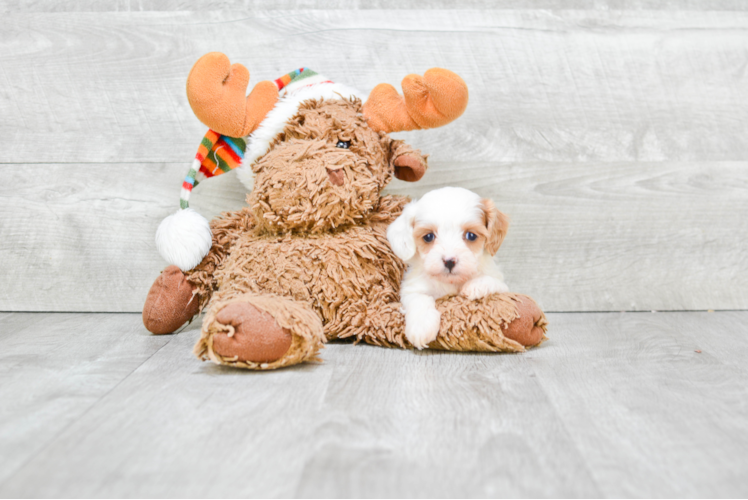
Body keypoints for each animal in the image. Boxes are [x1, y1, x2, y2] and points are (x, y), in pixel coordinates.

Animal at [388, 186, 512, 350]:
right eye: (428, 237)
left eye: (471, 235)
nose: (449, 261)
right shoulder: (412, 289)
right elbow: (419, 299)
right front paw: (421, 327)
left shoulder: (503, 286)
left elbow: (493, 281)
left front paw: (476, 286)